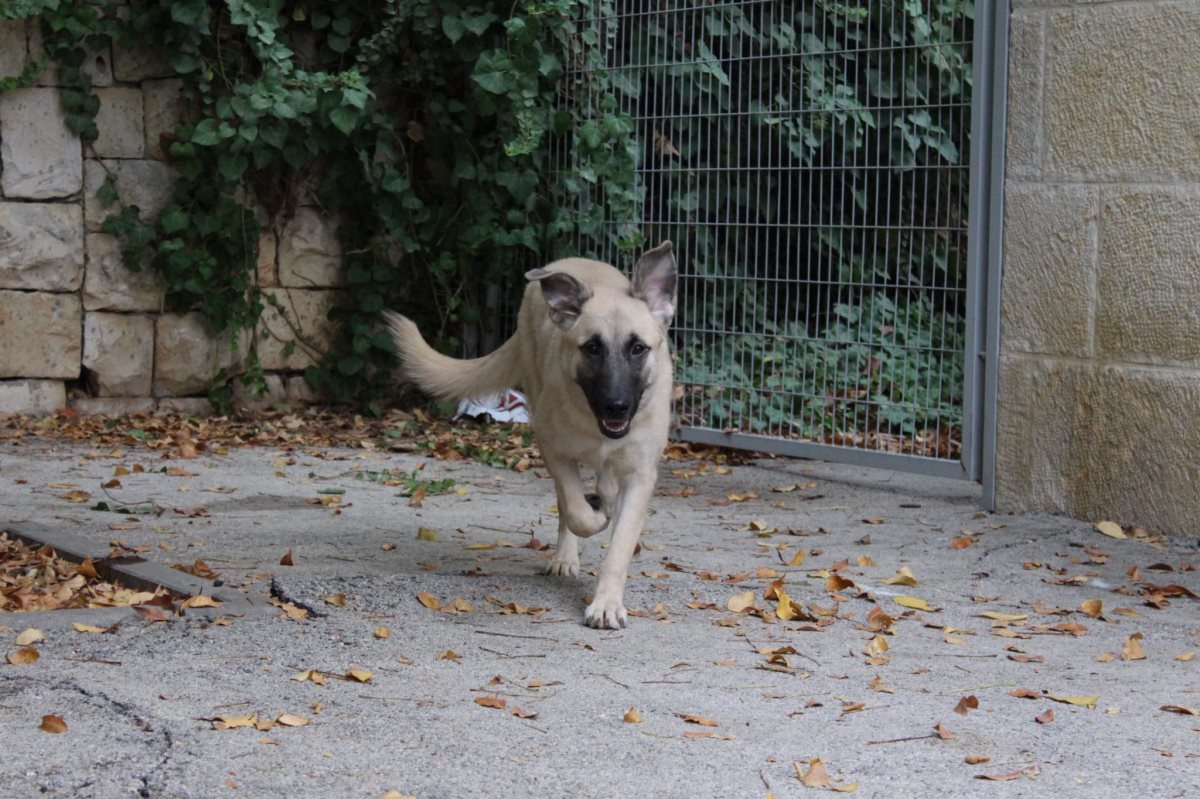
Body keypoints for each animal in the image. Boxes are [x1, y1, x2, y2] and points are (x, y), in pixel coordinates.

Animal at [384, 239, 676, 623]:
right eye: (592, 347)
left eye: (639, 348)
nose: (616, 406)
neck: (596, 428)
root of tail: (565, 262)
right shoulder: (555, 451)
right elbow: (576, 511)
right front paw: (594, 519)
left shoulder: (641, 475)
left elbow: (620, 545)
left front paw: (607, 604)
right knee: (569, 506)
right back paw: (567, 553)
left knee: (606, 486)